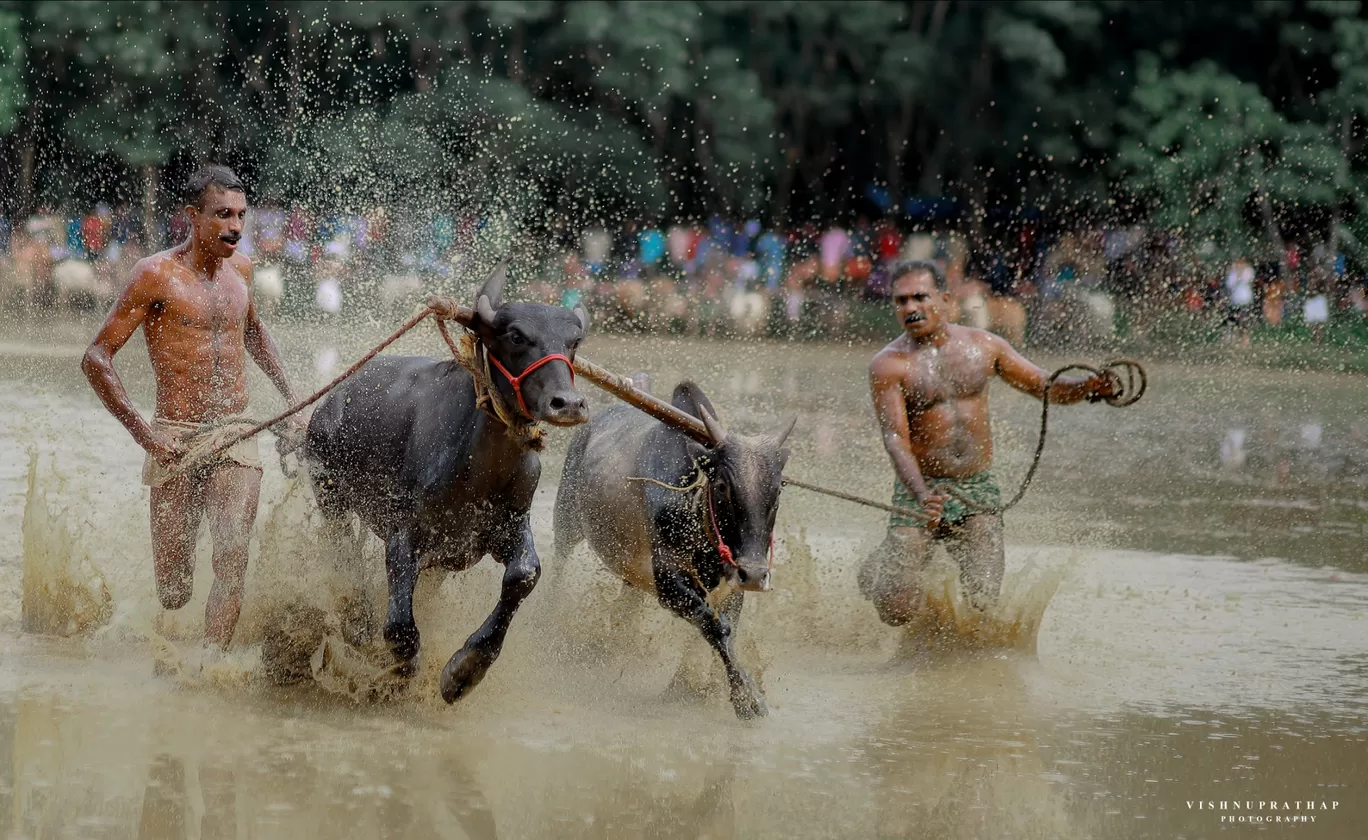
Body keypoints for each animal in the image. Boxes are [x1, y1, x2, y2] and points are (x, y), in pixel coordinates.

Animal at [305, 265, 588, 705]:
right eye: (517, 336)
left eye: (573, 342)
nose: (568, 403)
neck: (479, 468)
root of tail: (332, 400)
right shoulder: (404, 532)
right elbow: (399, 626)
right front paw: (401, 670)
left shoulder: (507, 525)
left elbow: (524, 574)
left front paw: (465, 670)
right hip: (329, 492)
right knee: (345, 551)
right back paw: (357, 618)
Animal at [552, 385, 793, 722]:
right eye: (722, 485)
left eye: (778, 488)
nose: (756, 575)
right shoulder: (668, 583)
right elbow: (716, 627)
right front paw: (747, 698)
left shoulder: (730, 587)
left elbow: (725, 630)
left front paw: (695, 688)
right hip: (566, 522)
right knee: (556, 567)